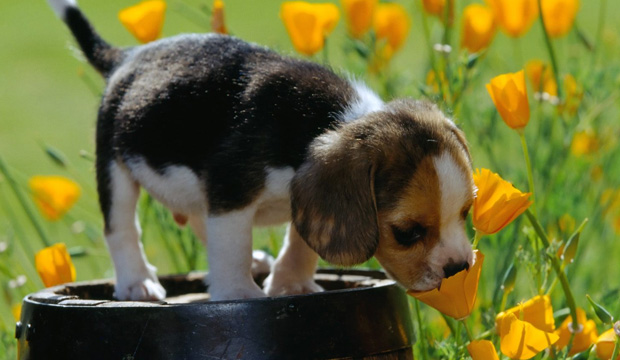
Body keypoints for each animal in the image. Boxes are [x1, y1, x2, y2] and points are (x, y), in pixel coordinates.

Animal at [48, 0, 474, 300]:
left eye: (467, 211)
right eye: (407, 233)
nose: (459, 269)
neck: (332, 120)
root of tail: (127, 57)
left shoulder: (303, 197)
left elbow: (301, 241)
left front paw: (291, 283)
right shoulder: (231, 192)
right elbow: (231, 247)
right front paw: (238, 293)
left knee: (198, 218)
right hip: (114, 165)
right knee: (122, 227)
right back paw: (137, 282)